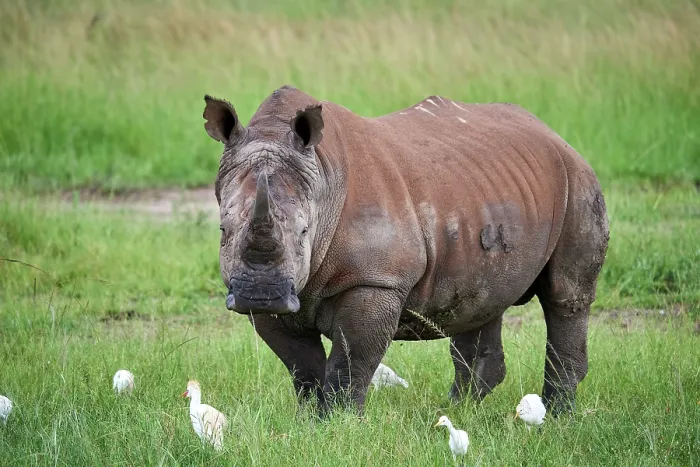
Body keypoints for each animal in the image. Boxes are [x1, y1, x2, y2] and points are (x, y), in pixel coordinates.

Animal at [203, 85, 609, 417]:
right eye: (223, 230)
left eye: (305, 232)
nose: (261, 295)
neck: (321, 179)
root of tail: (550, 132)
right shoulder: (271, 294)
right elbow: (303, 368)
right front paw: (309, 423)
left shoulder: (376, 281)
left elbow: (350, 365)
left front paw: (337, 425)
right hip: (483, 193)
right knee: (482, 298)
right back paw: (457, 411)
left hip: (577, 178)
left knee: (566, 296)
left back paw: (556, 417)